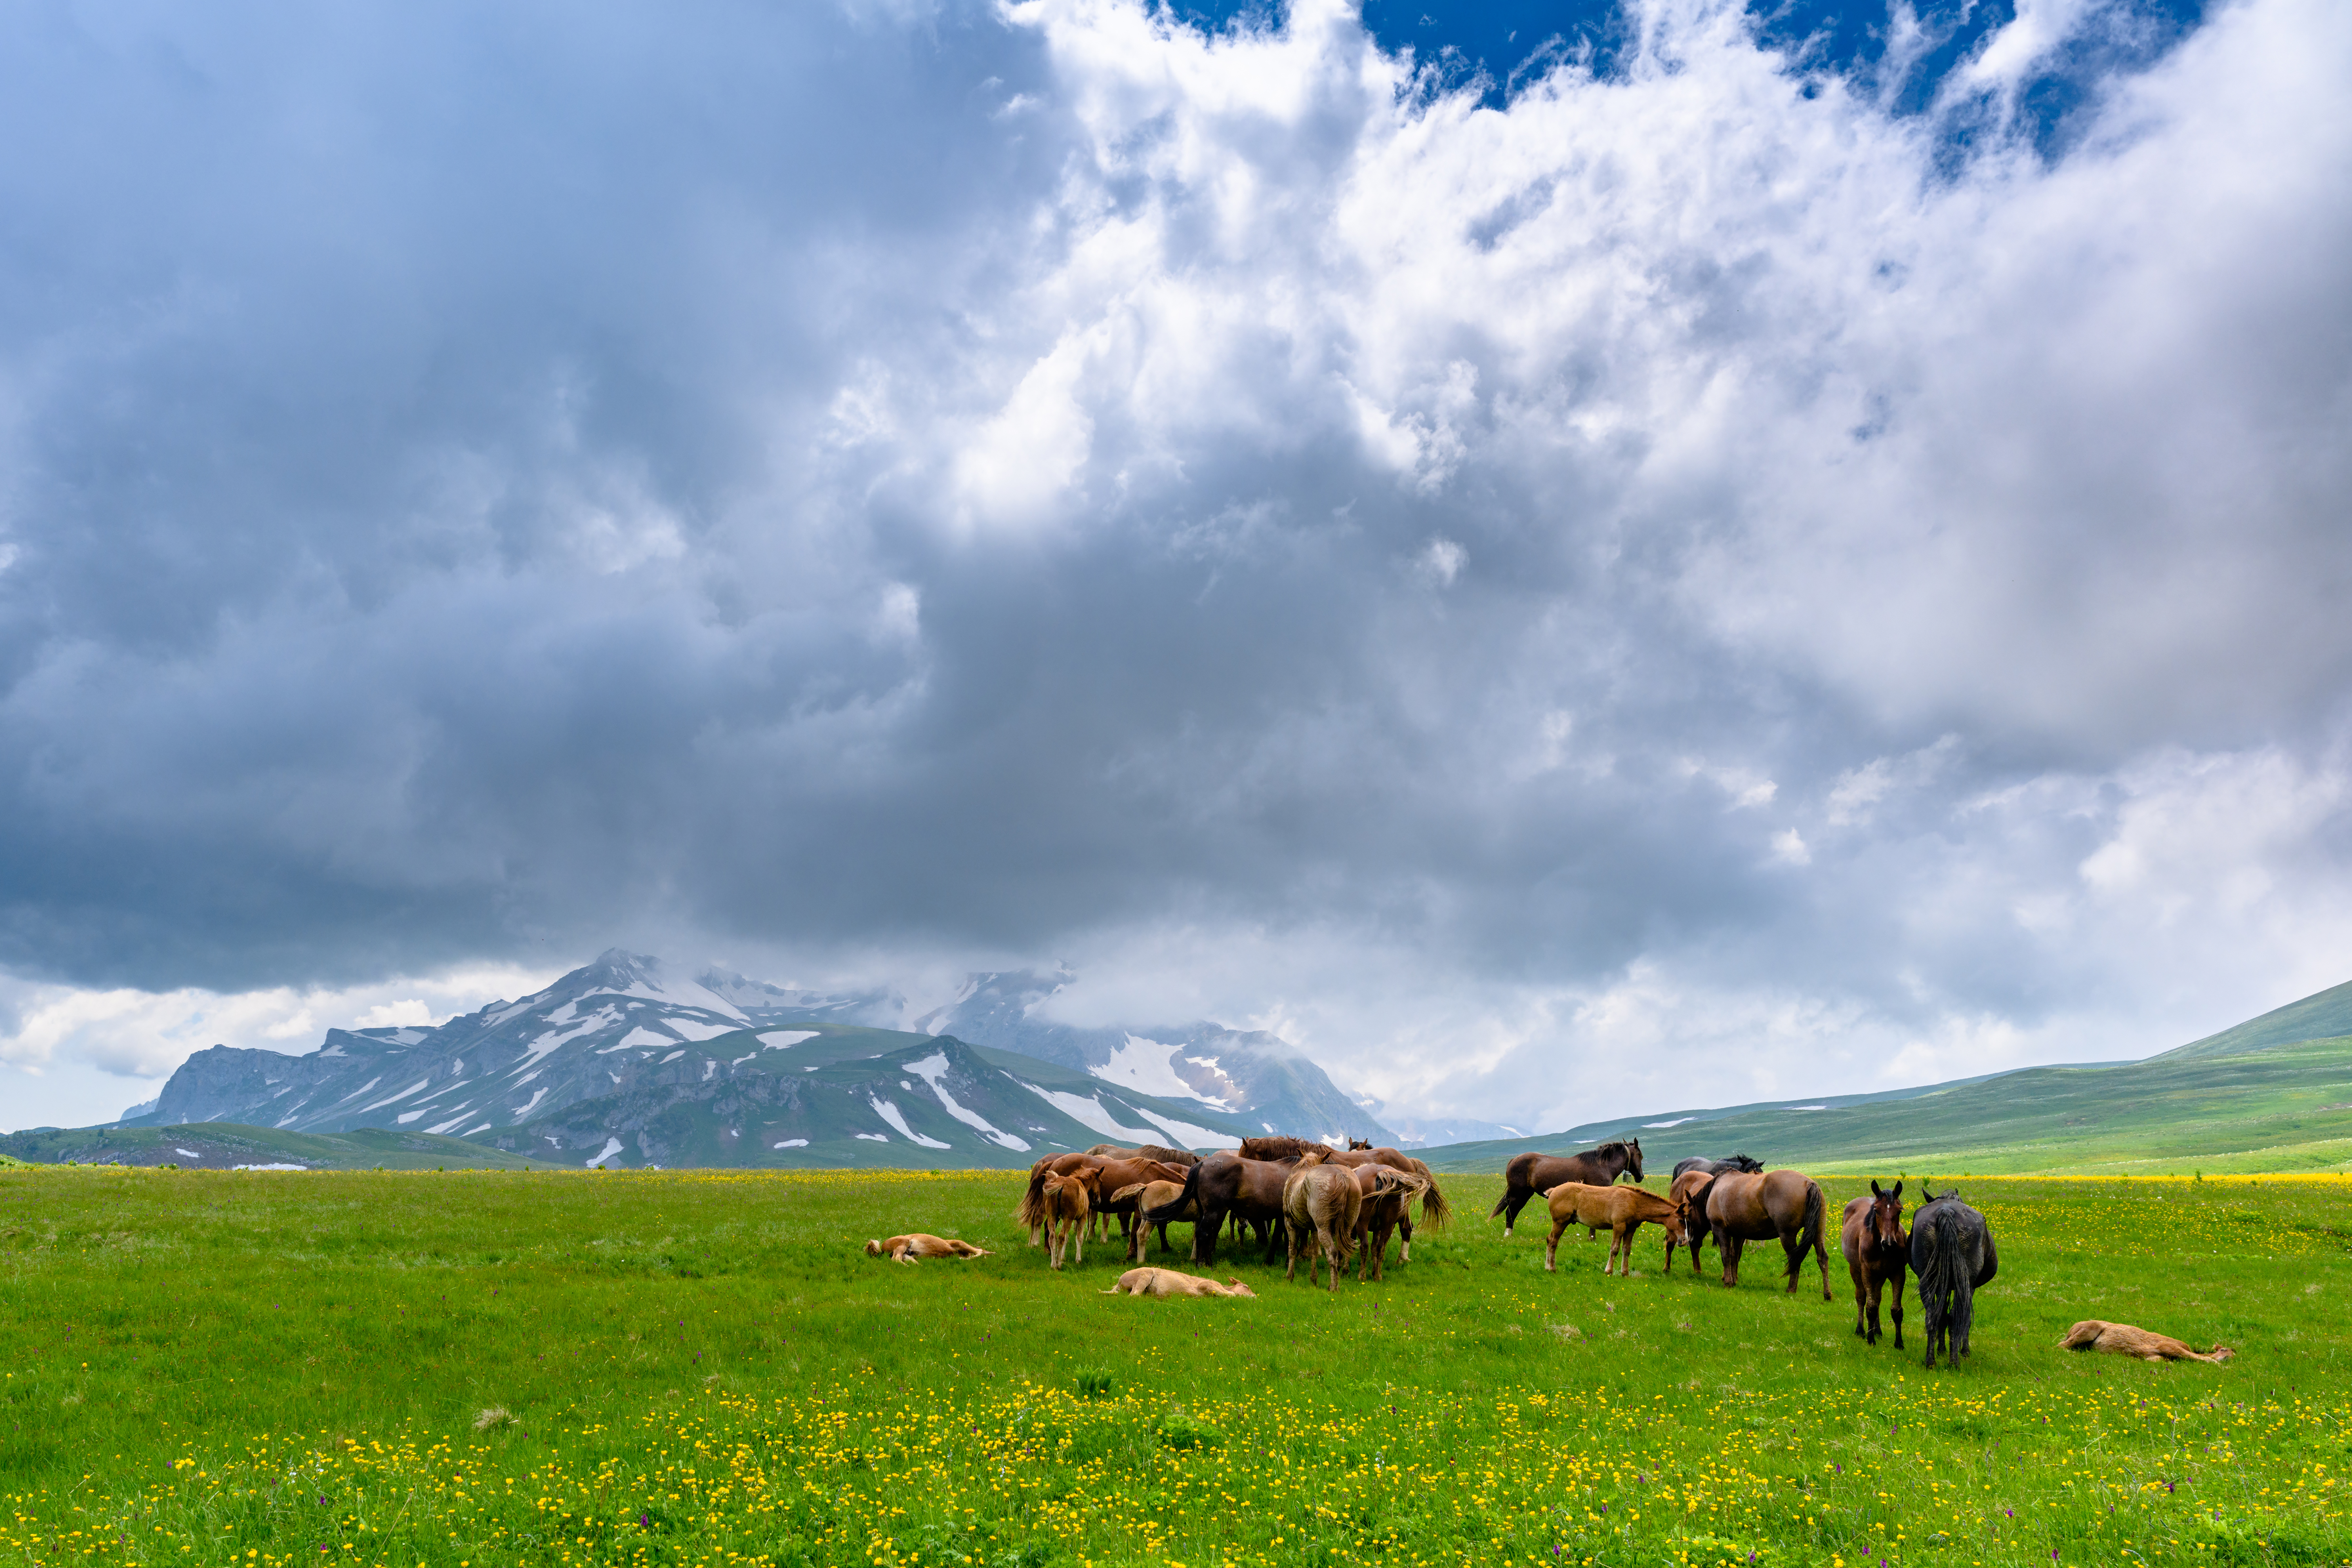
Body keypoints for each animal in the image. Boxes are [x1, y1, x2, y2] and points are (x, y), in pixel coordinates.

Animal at [1491, 1140, 1643, 1236]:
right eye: (1640, 1156)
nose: (1641, 1177)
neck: (1602, 1165)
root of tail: (1514, 1160)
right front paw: (1592, 1238)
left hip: (1525, 1194)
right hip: (1519, 1195)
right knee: (1510, 1213)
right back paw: (1508, 1235)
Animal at [1704, 1169, 1830, 1296]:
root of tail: (1808, 1183)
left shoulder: (1720, 1230)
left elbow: (1726, 1257)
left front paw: (1728, 1282)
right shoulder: (1738, 1235)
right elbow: (1735, 1256)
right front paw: (1734, 1281)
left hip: (1787, 1235)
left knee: (1795, 1260)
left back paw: (1791, 1290)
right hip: (1818, 1232)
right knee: (1822, 1258)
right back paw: (1827, 1295)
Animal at [1839, 1180, 1907, 1347]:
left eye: (1899, 1211)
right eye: (1876, 1211)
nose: (1889, 1243)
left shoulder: (1898, 1273)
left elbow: (1896, 1310)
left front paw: (1899, 1343)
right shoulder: (1868, 1273)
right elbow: (1870, 1307)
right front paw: (1870, 1340)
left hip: (1880, 1277)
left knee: (1877, 1298)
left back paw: (1878, 1331)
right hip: (1856, 1270)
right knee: (1861, 1297)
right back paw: (1861, 1330)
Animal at [1910, 1189, 1997, 1369]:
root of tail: (1947, 1211)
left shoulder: (1942, 1286)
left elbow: (1943, 1316)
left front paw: (1941, 1349)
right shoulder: (1970, 1287)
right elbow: (1964, 1319)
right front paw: (1965, 1352)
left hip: (1927, 1283)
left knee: (1931, 1317)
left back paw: (1930, 1362)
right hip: (1964, 1284)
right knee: (1958, 1317)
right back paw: (1954, 1362)